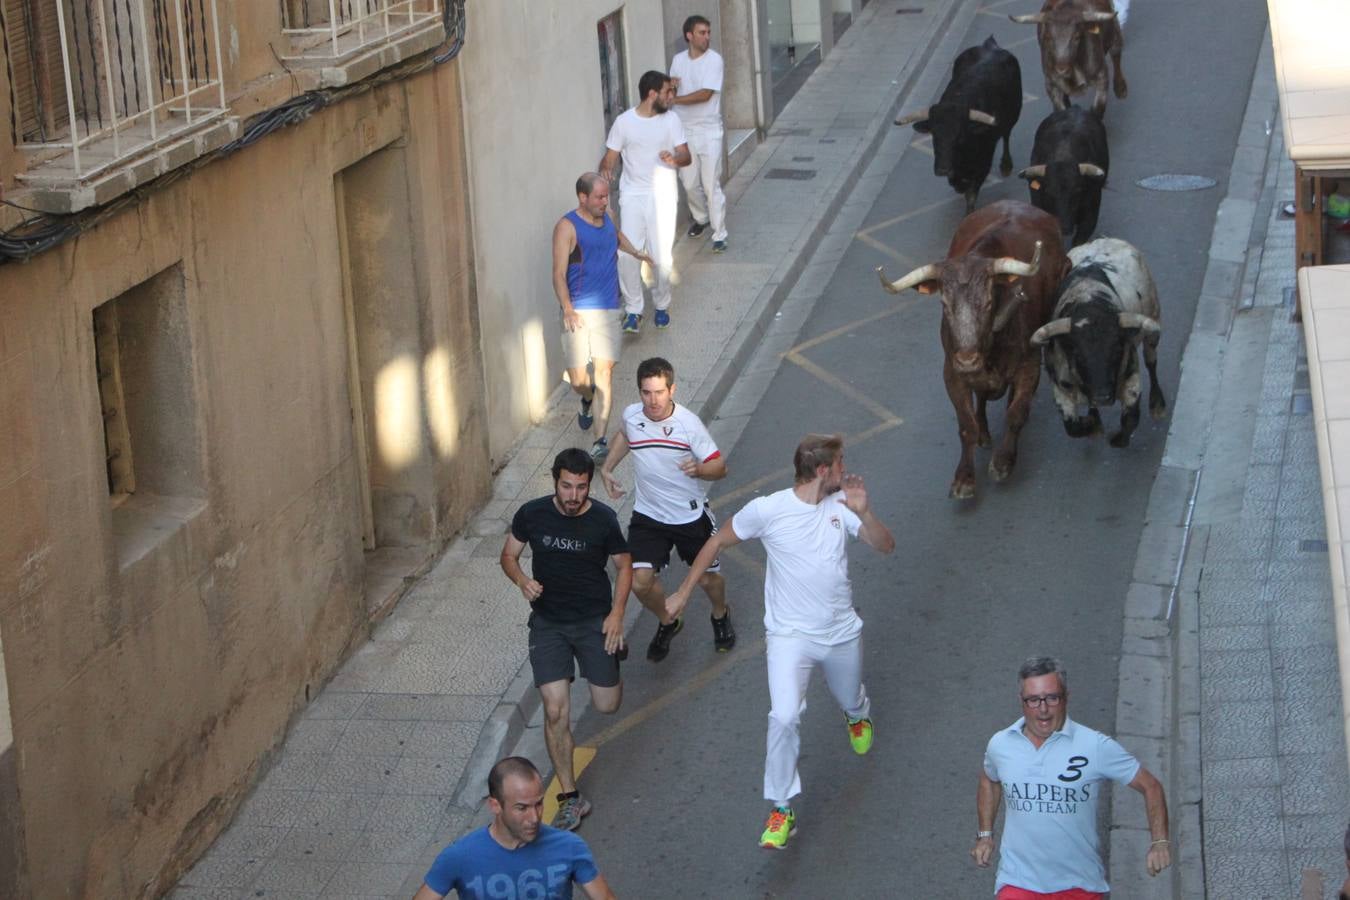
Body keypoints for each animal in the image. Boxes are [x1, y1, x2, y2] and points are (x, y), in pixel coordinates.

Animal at [874, 199, 1074, 504]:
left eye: (989, 301)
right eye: (944, 303)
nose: (967, 359)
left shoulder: (1029, 365)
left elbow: (1016, 413)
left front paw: (1003, 462)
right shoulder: (952, 374)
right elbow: (966, 425)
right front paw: (964, 478)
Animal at [896, 36, 1020, 213]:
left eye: (960, 136)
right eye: (934, 135)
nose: (942, 169)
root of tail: (990, 46)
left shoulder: (983, 162)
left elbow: (971, 194)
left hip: (1013, 115)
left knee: (1006, 134)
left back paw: (1006, 165)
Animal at [1026, 236, 1166, 447]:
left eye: (1117, 349)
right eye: (1076, 354)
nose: (1102, 397)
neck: (1088, 301)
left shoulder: (1131, 377)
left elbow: (1131, 418)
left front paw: (1118, 439)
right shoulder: (1060, 390)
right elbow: (1073, 428)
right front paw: (1092, 426)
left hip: (1153, 325)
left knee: (1151, 362)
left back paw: (1157, 404)